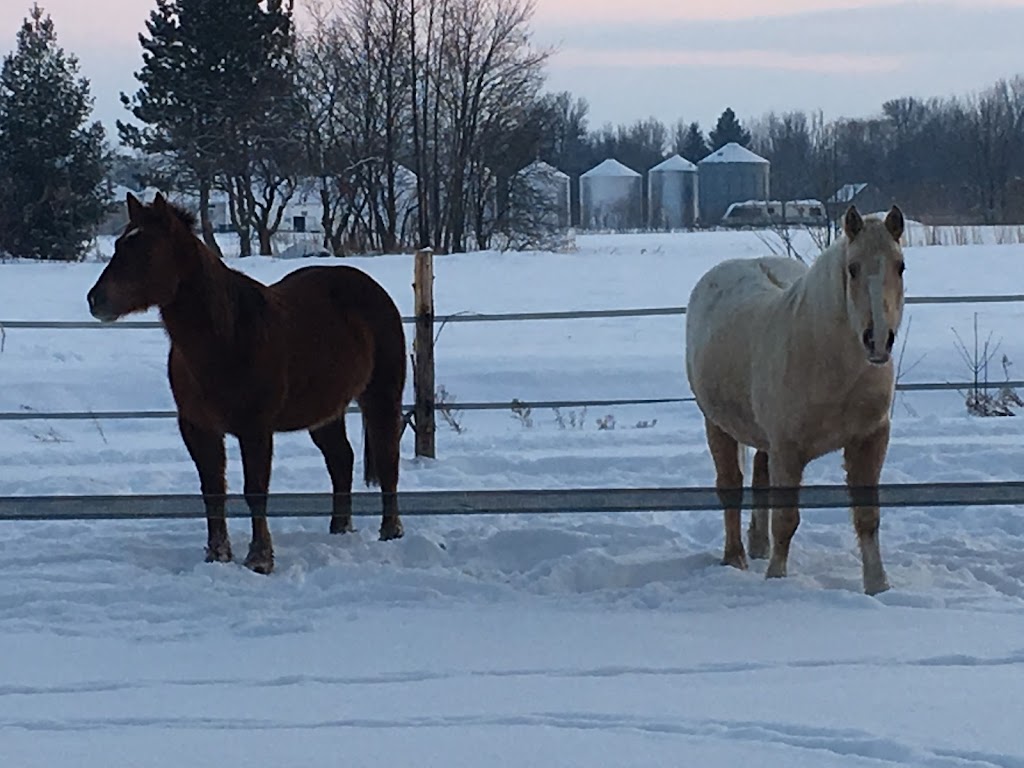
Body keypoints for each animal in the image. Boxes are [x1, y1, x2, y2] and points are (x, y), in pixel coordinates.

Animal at [87, 192, 407, 573]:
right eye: (120, 244)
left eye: (147, 250)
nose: (96, 300)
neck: (228, 337)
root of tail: (370, 288)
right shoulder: (197, 428)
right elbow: (212, 489)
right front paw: (217, 554)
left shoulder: (255, 428)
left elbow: (255, 491)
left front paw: (260, 558)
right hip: (325, 411)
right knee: (341, 460)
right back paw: (339, 529)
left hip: (381, 396)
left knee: (387, 459)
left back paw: (390, 531)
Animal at [688, 204, 905, 593]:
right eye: (852, 267)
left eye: (901, 266)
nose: (878, 340)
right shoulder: (788, 449)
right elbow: (786, 518)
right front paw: (777, 578)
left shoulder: (870, 439)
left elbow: (867, 516)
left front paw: (878, 586)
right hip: (717, 425)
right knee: (730, 486)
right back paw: (736, 557)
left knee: (759, 475)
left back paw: (758, 547)